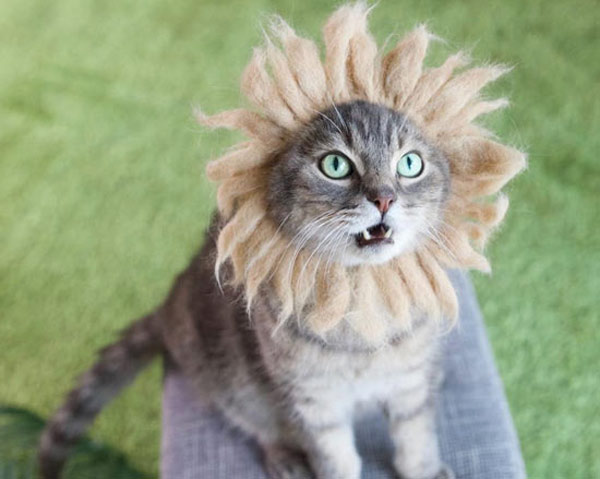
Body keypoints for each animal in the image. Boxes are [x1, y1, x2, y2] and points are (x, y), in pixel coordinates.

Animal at [39, 99, 452, 478]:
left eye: (410, 164)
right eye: (336, 166)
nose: (385, 198)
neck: (361, 304)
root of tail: (170, 301)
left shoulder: (412, 383)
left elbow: (417, 440)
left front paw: (426, 471)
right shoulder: (313, 403)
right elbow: (337, 459)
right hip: (231, 385)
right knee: (258, 425)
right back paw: (283, 457)